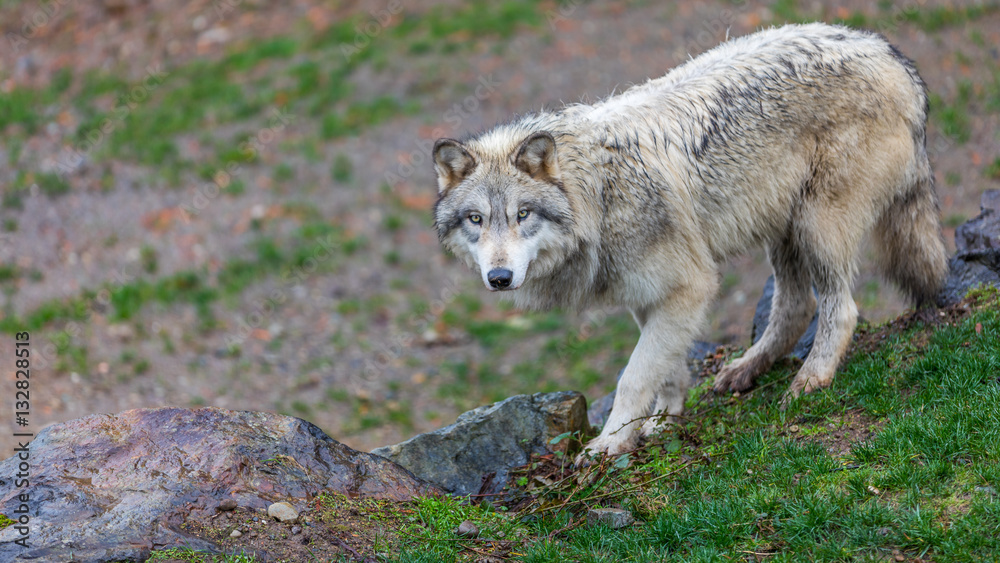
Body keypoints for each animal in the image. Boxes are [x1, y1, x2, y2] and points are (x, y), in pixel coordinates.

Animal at [431, 23, 948, 459]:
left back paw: (810, 380)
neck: (598, 194)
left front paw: (609, 445)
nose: (499, 277)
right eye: (476, 219)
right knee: (796, 307)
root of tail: (891, 54)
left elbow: (633, 377)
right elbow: (667, 369)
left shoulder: (690, 286)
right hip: (784, 231)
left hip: (816, 228)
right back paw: (746, 369)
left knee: (842, 309)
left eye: (522, 215)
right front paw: (662, 422)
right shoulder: (649, 295)